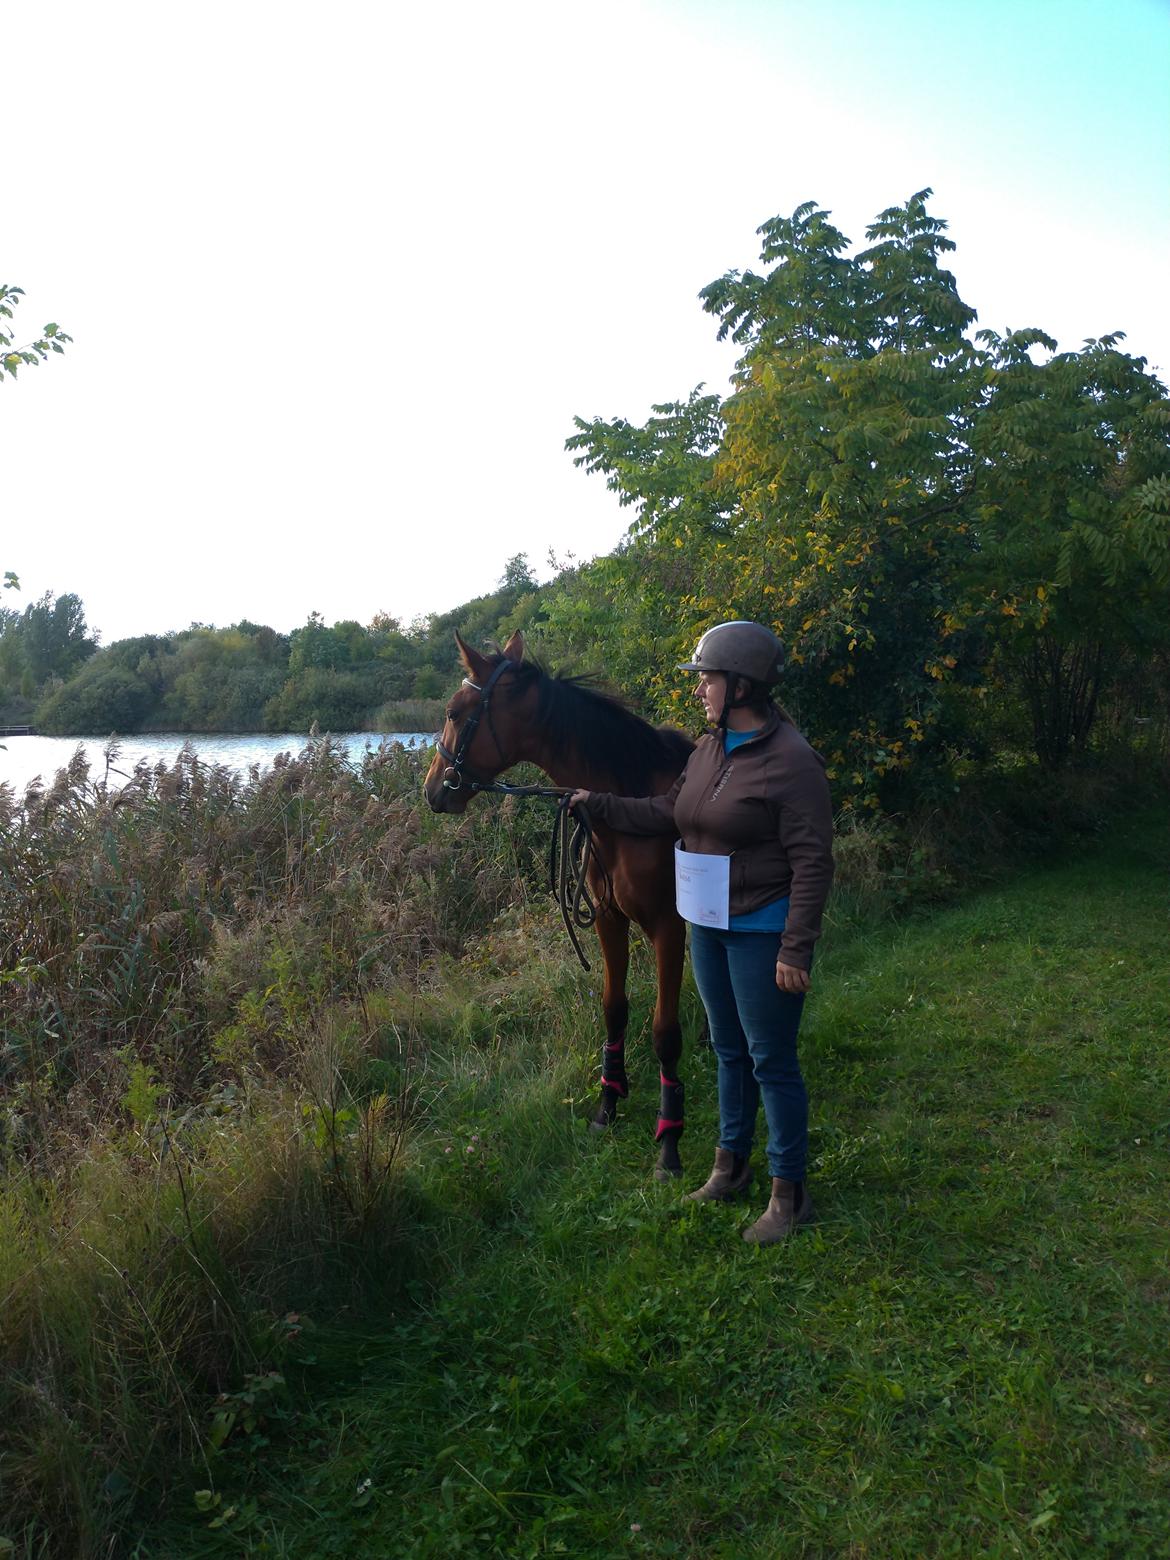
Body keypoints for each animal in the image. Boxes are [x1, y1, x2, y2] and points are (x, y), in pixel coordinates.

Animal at [424, 627, 692, 1173]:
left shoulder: (667, 928)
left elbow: (665, 1032)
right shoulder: (609, 919)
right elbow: (614, 1008)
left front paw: (669, 1141)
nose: (432, 787)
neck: (630, 800)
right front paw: (608, 1103)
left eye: (455, 713)